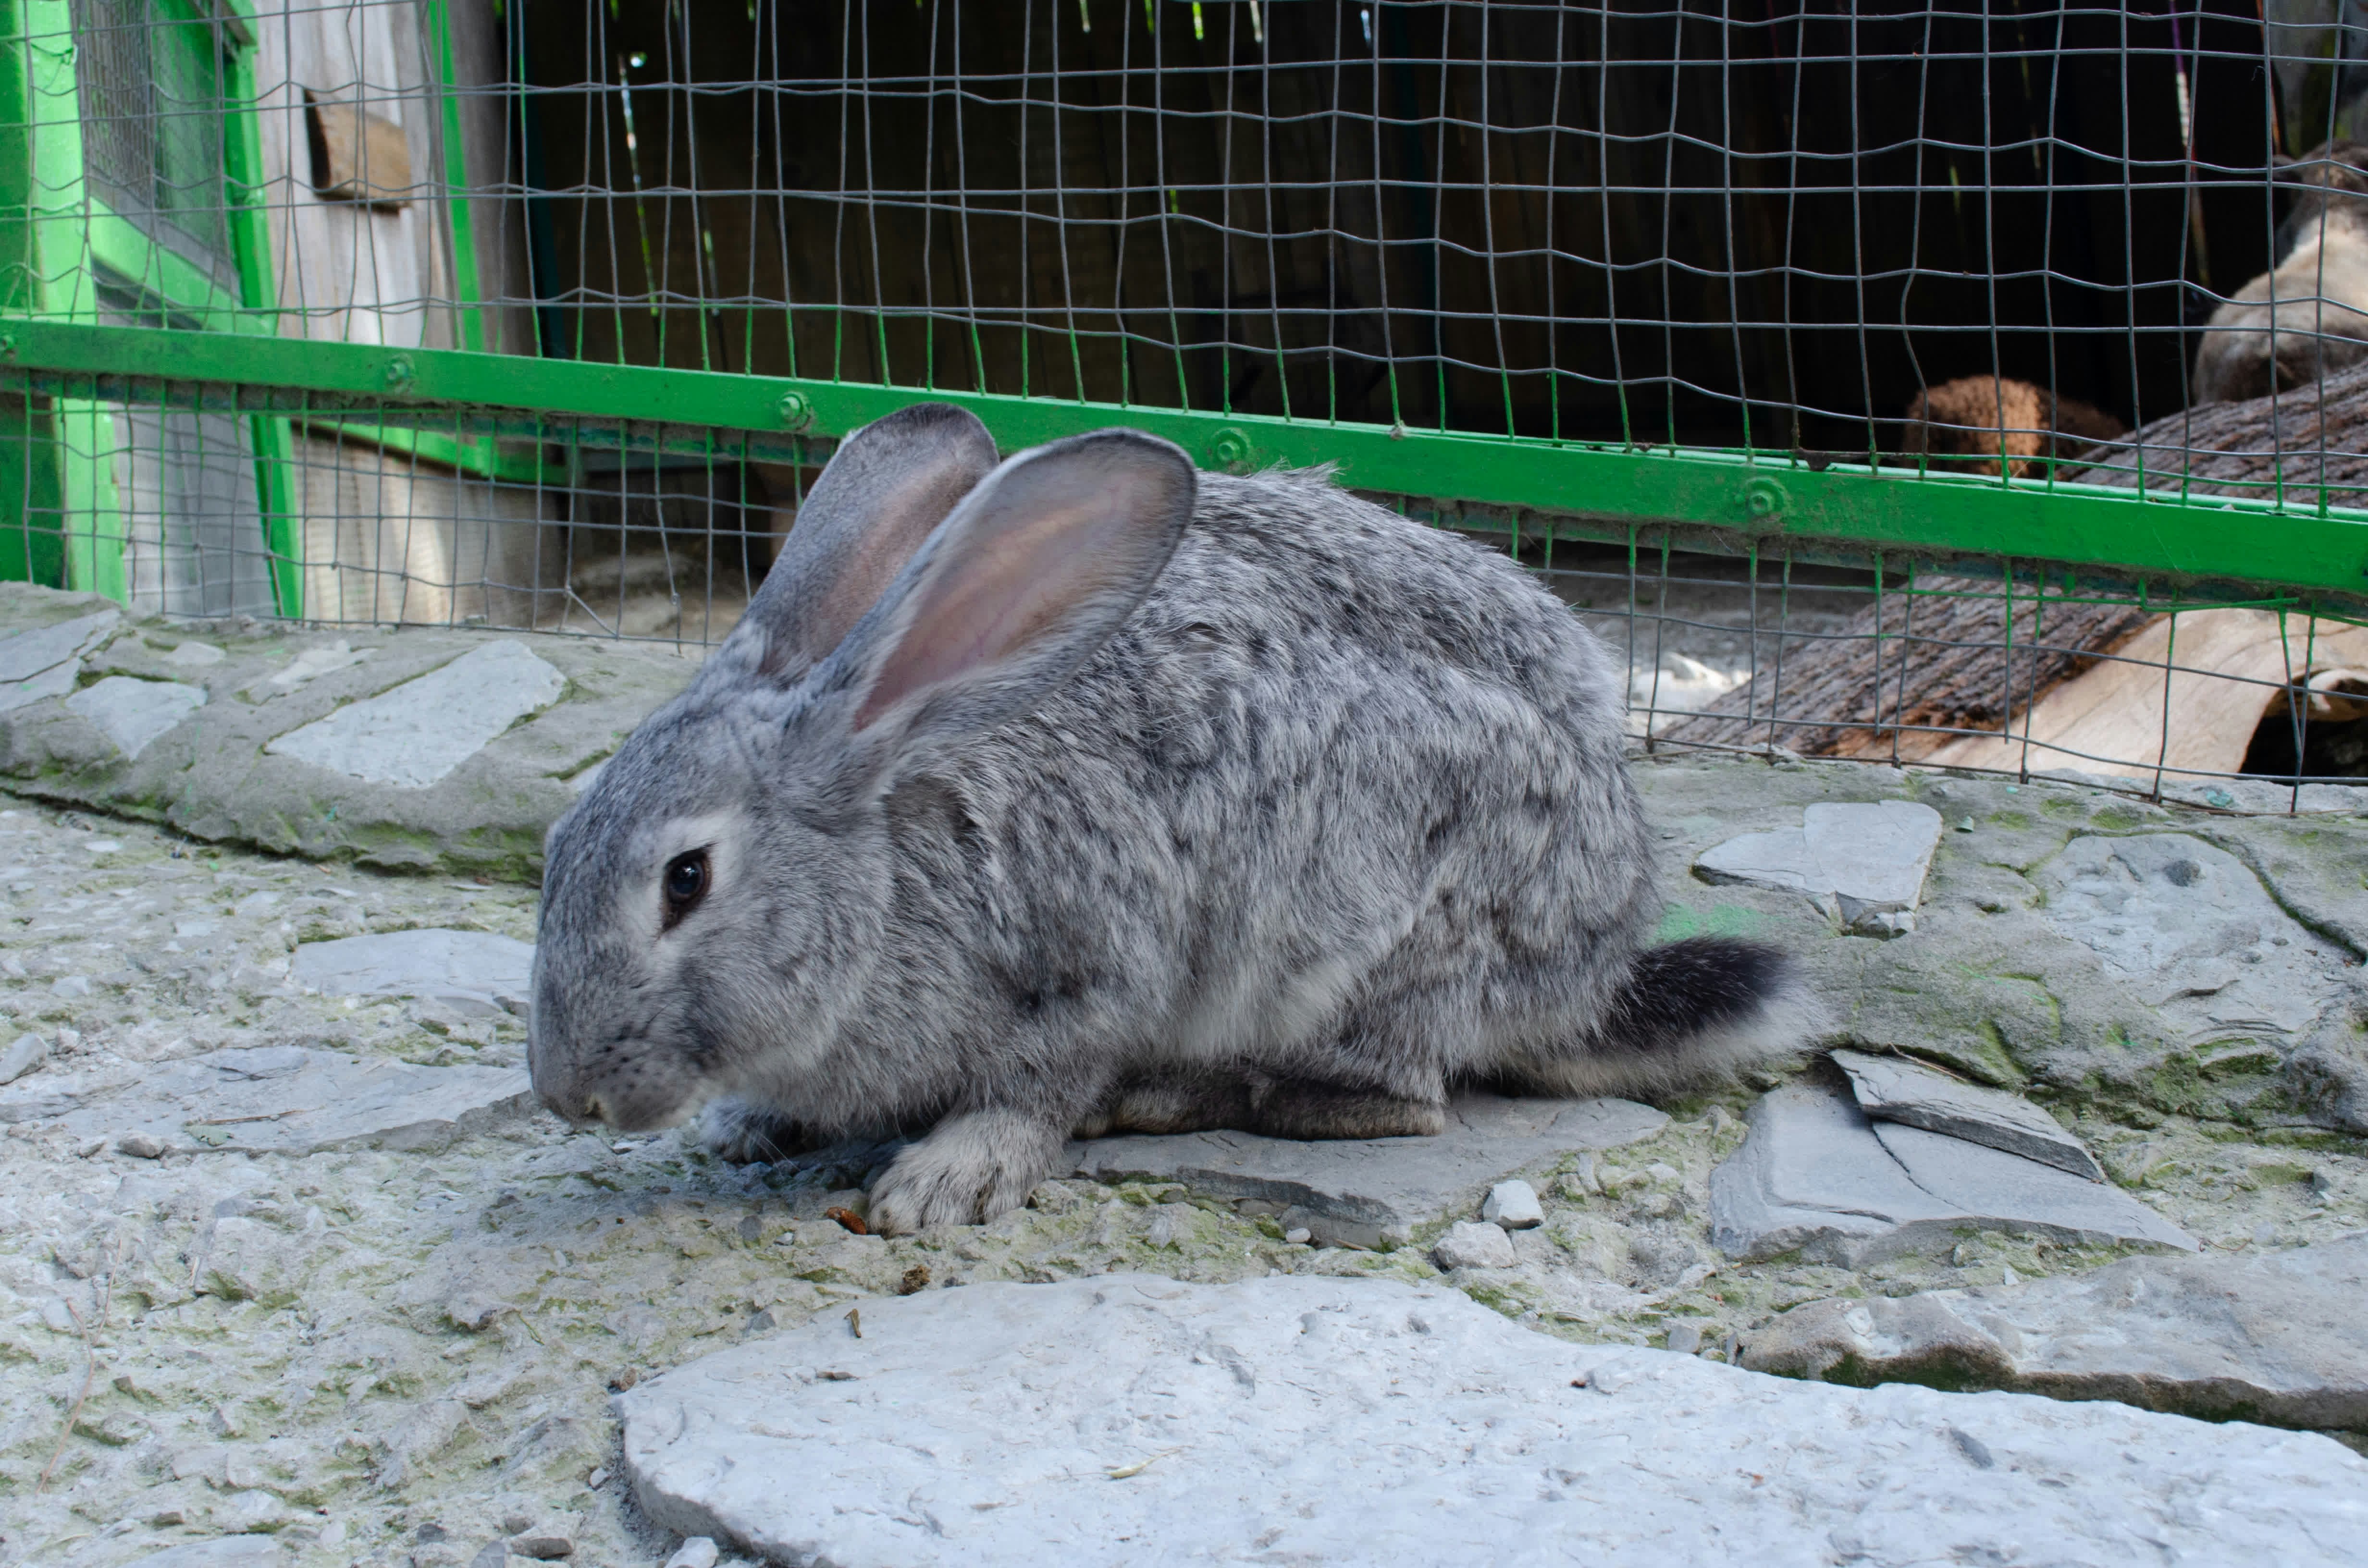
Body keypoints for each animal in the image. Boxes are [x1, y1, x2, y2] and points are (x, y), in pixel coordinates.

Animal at [529, 401, 1817, 1235]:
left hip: (1362, 940)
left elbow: (1035, 1089)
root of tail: (1591, 972)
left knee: (1396, 1101)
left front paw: (940, 1184)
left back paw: (1167, 1100)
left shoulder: (1091, 964)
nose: (565, 1095)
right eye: (552, 850)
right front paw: (751, 1124)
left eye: (685, 880)